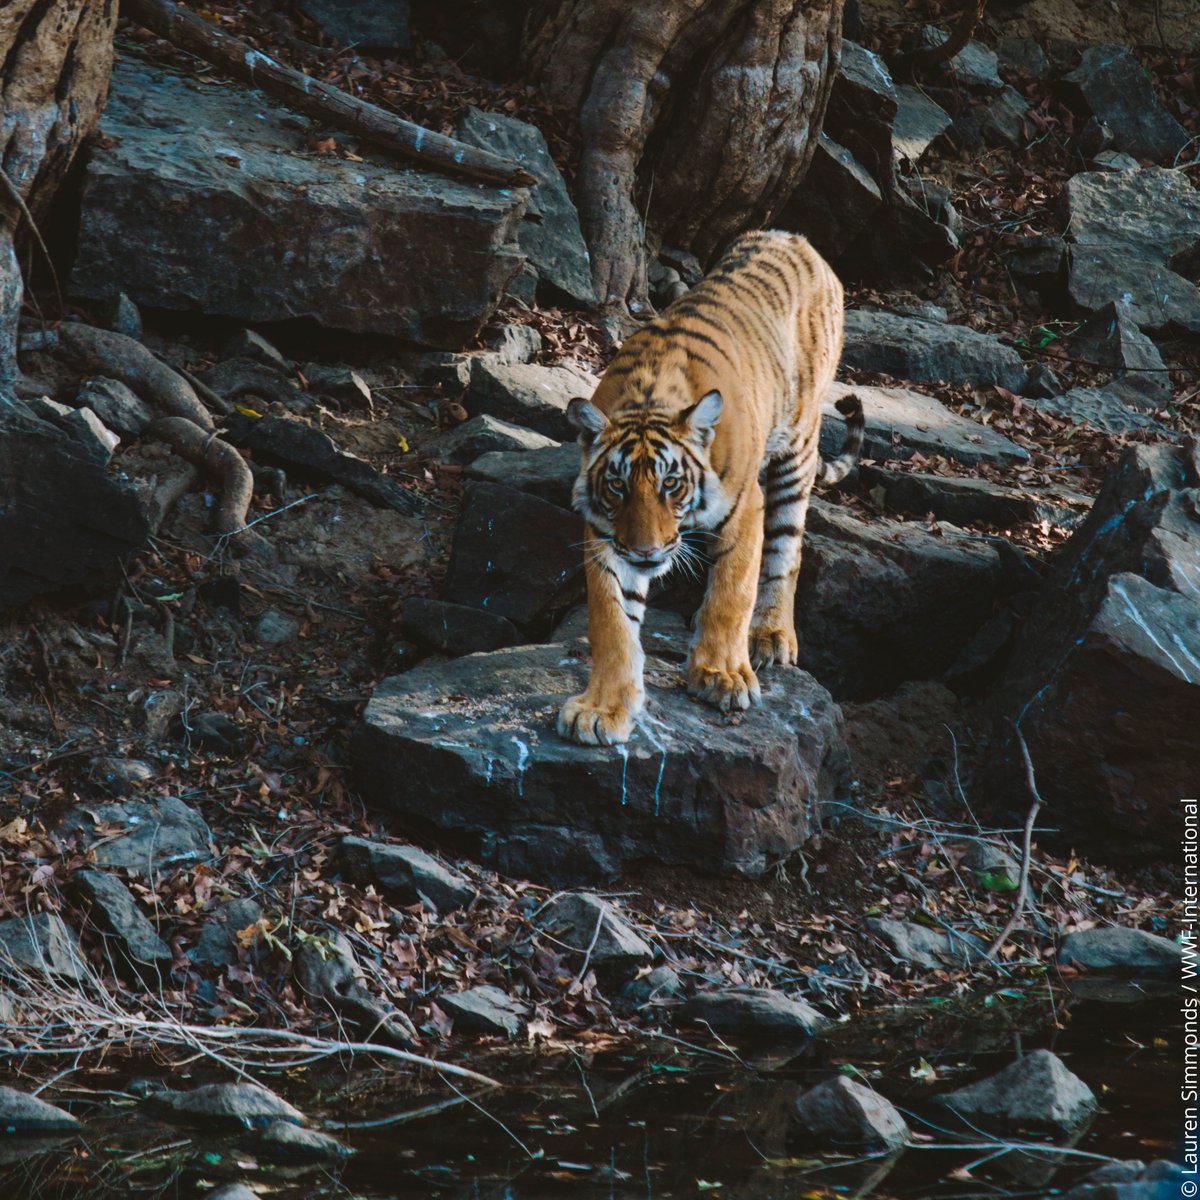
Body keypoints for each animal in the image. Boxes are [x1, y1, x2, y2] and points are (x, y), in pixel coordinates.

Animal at [557, 229, 863, 747]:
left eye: (671, 484)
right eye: (617, 486)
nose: (646, 552)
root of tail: (796, 237)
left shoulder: (745, 507)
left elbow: (731, 593)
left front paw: (721, 676)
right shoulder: (604, 534)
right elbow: (612, 621)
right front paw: (602, 708)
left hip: (797, 446)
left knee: (787, 549)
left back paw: (771, 637)